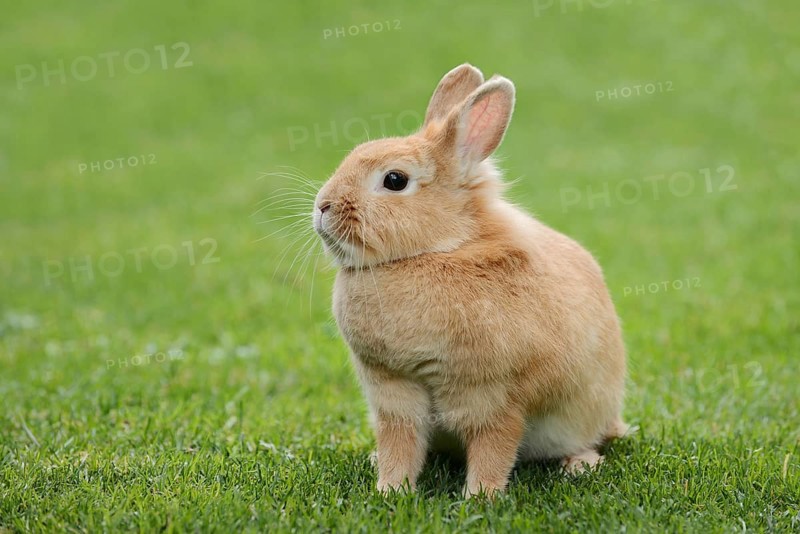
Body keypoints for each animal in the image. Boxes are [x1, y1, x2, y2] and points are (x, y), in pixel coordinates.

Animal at [312, 63, 628, 498]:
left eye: (395, 180)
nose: (322, 206)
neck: (435, 251)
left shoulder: (493, 397)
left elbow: (493, 447)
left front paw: (481, 498)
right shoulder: (393, 394)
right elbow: (399, 445)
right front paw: (390, 490)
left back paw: (579, 465)